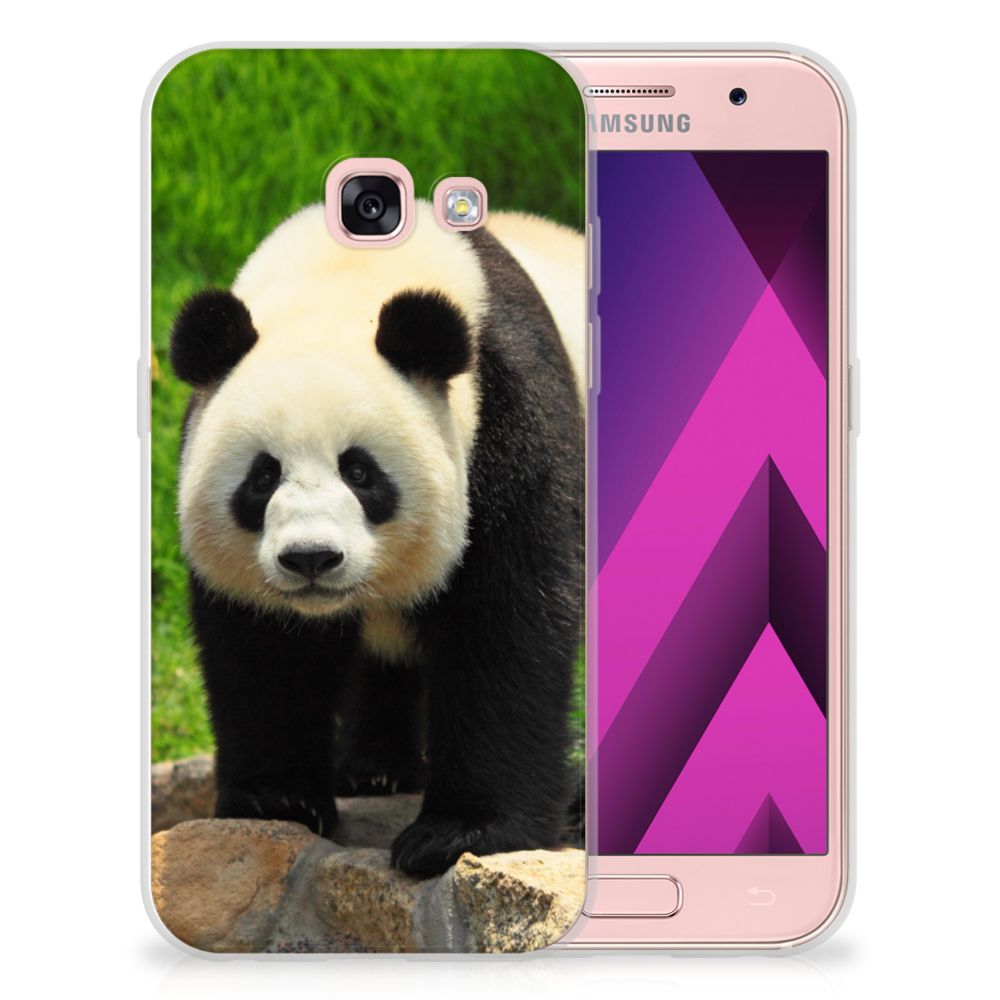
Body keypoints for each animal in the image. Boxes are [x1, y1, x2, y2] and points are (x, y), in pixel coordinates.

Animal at [170, 200, 584, 877]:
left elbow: (506, 623)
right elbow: (265, 648)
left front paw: (459, 833)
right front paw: (277, 799)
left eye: (360, 472)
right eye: (262, 477)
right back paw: (373, 769)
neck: (344, 278)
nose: (311, 558)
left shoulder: (509, 418)